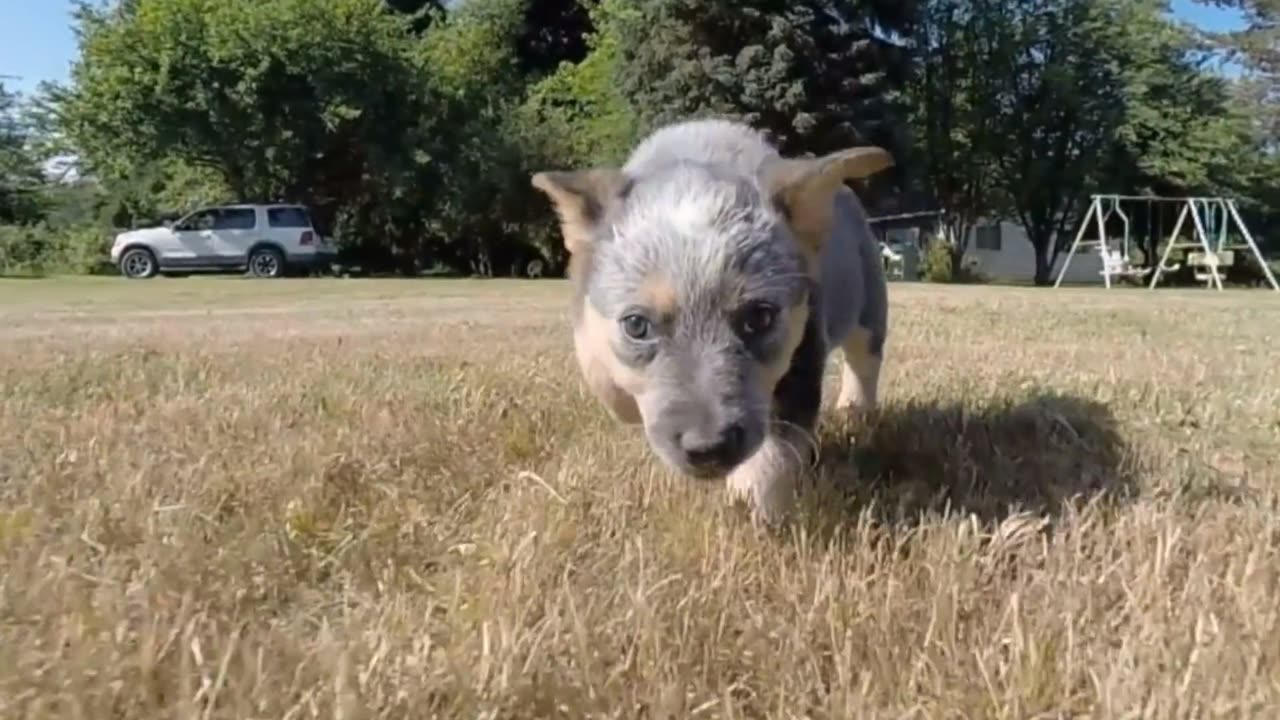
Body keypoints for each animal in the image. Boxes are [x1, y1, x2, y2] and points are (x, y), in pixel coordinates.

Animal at [529, 117, 890, 520]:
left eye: (759, 318)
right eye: (636, 325)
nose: (709, 449)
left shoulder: (804, 347)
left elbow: (776, 445)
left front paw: (751, 504)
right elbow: (606, 380)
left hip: (869, 302)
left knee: (865, 360)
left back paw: (854, 411)